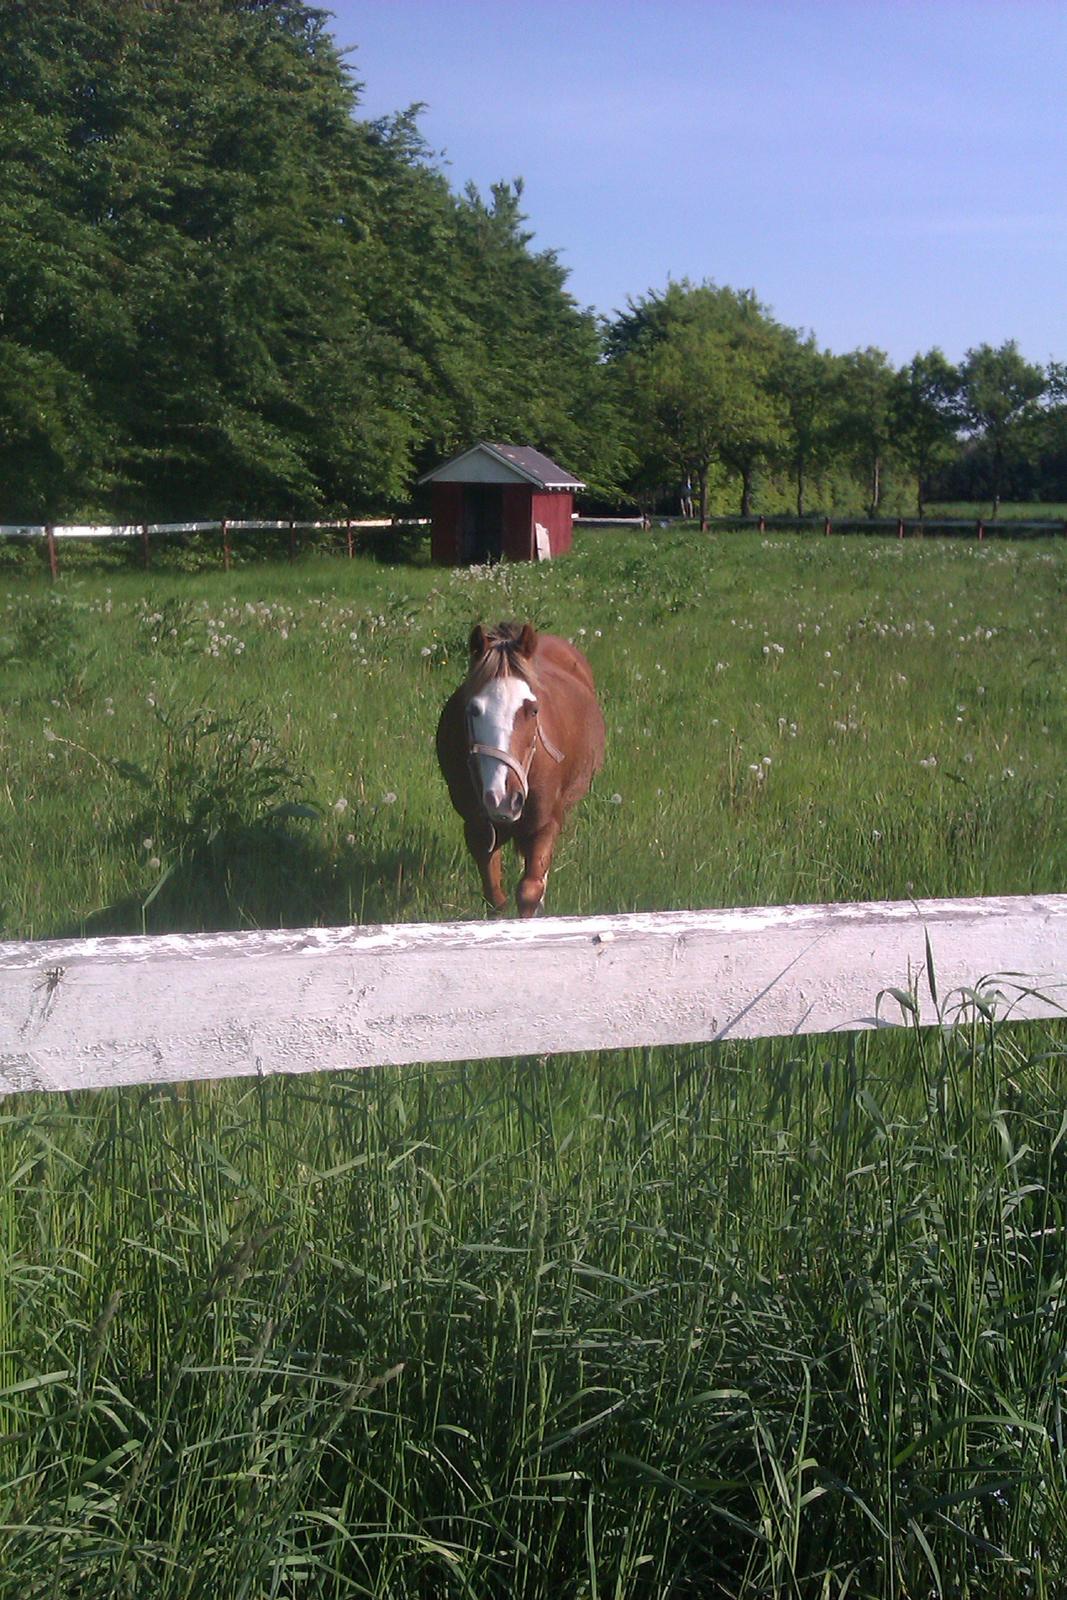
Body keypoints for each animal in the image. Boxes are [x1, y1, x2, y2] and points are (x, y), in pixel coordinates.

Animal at [435, 624, 604, 928]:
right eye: (472, 709)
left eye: (532, 709)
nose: (502, 798)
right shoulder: (477, 828)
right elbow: (495, 895)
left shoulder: (545, 824)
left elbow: (530, 890)